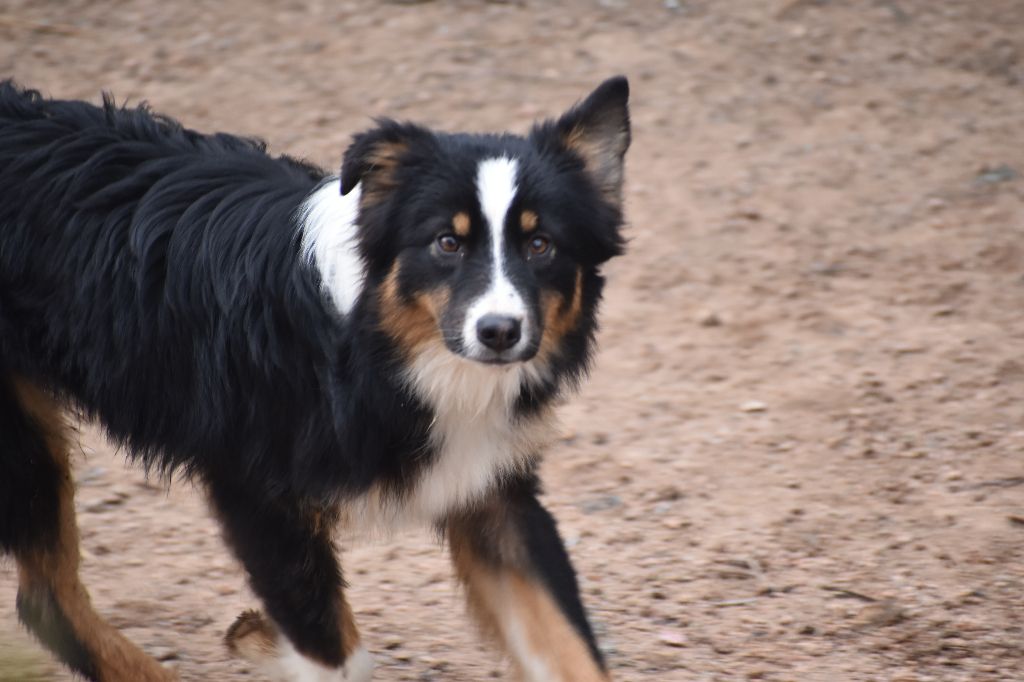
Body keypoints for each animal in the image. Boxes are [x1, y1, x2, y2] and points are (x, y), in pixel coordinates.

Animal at [0, 75, 630, 679]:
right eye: (447, 243)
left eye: (540, 245)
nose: (499, 332)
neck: (375, 350)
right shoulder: (257, 498)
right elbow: (336, 655)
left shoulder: (493, 493)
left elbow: (572, 650)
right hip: (27, 446)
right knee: (47, 601)